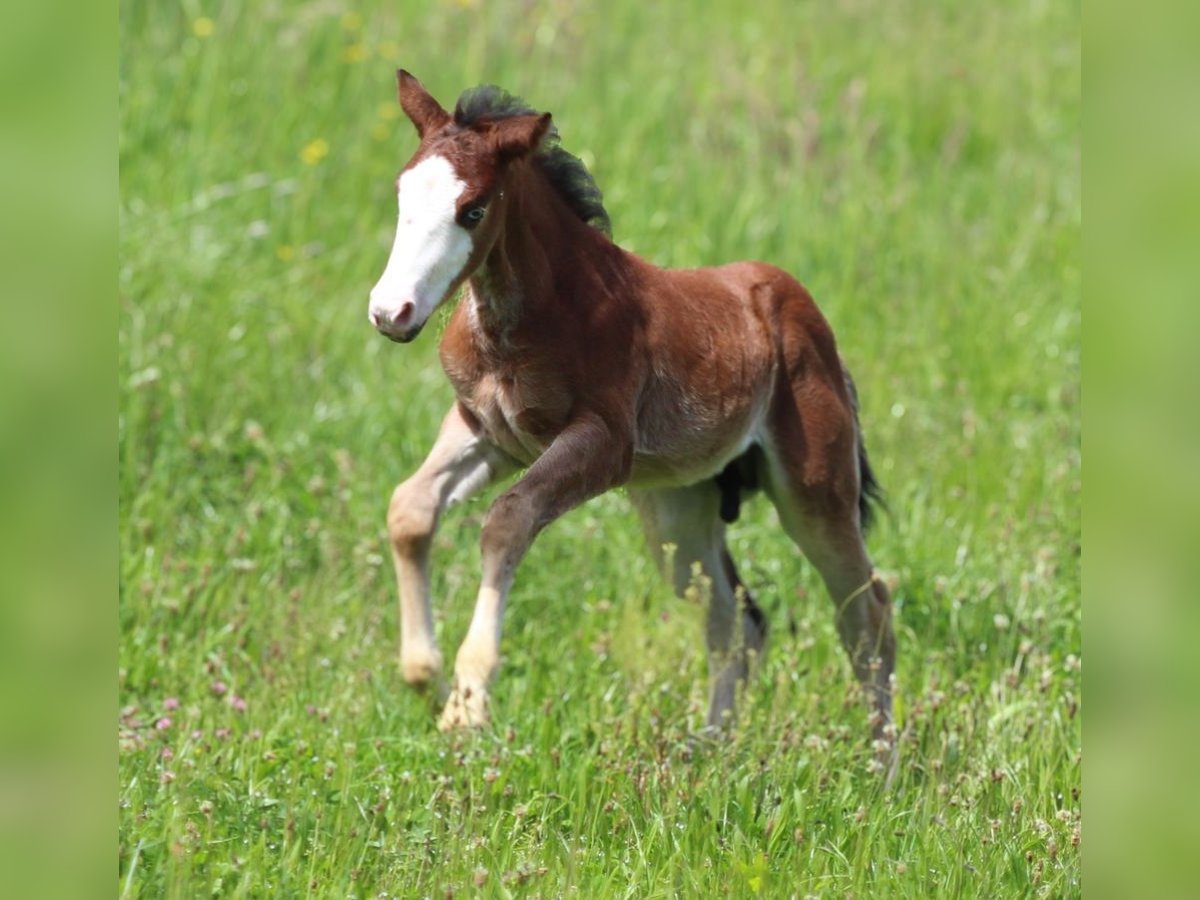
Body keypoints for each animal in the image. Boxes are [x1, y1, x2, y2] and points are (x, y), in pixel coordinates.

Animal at [369, 70, 897, 748]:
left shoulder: (603, 443)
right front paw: (425, 675)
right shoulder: (487, 431)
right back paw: (709, 751)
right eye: (401, 193)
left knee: (867, 613)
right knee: (737, 620)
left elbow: (506, 522)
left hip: (814, 491)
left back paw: (881, 761)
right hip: (680, 507)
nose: (392, 312)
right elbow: (409, 508)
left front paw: (469, 701)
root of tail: (808, 316)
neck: (536, 314)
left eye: (474, 209)